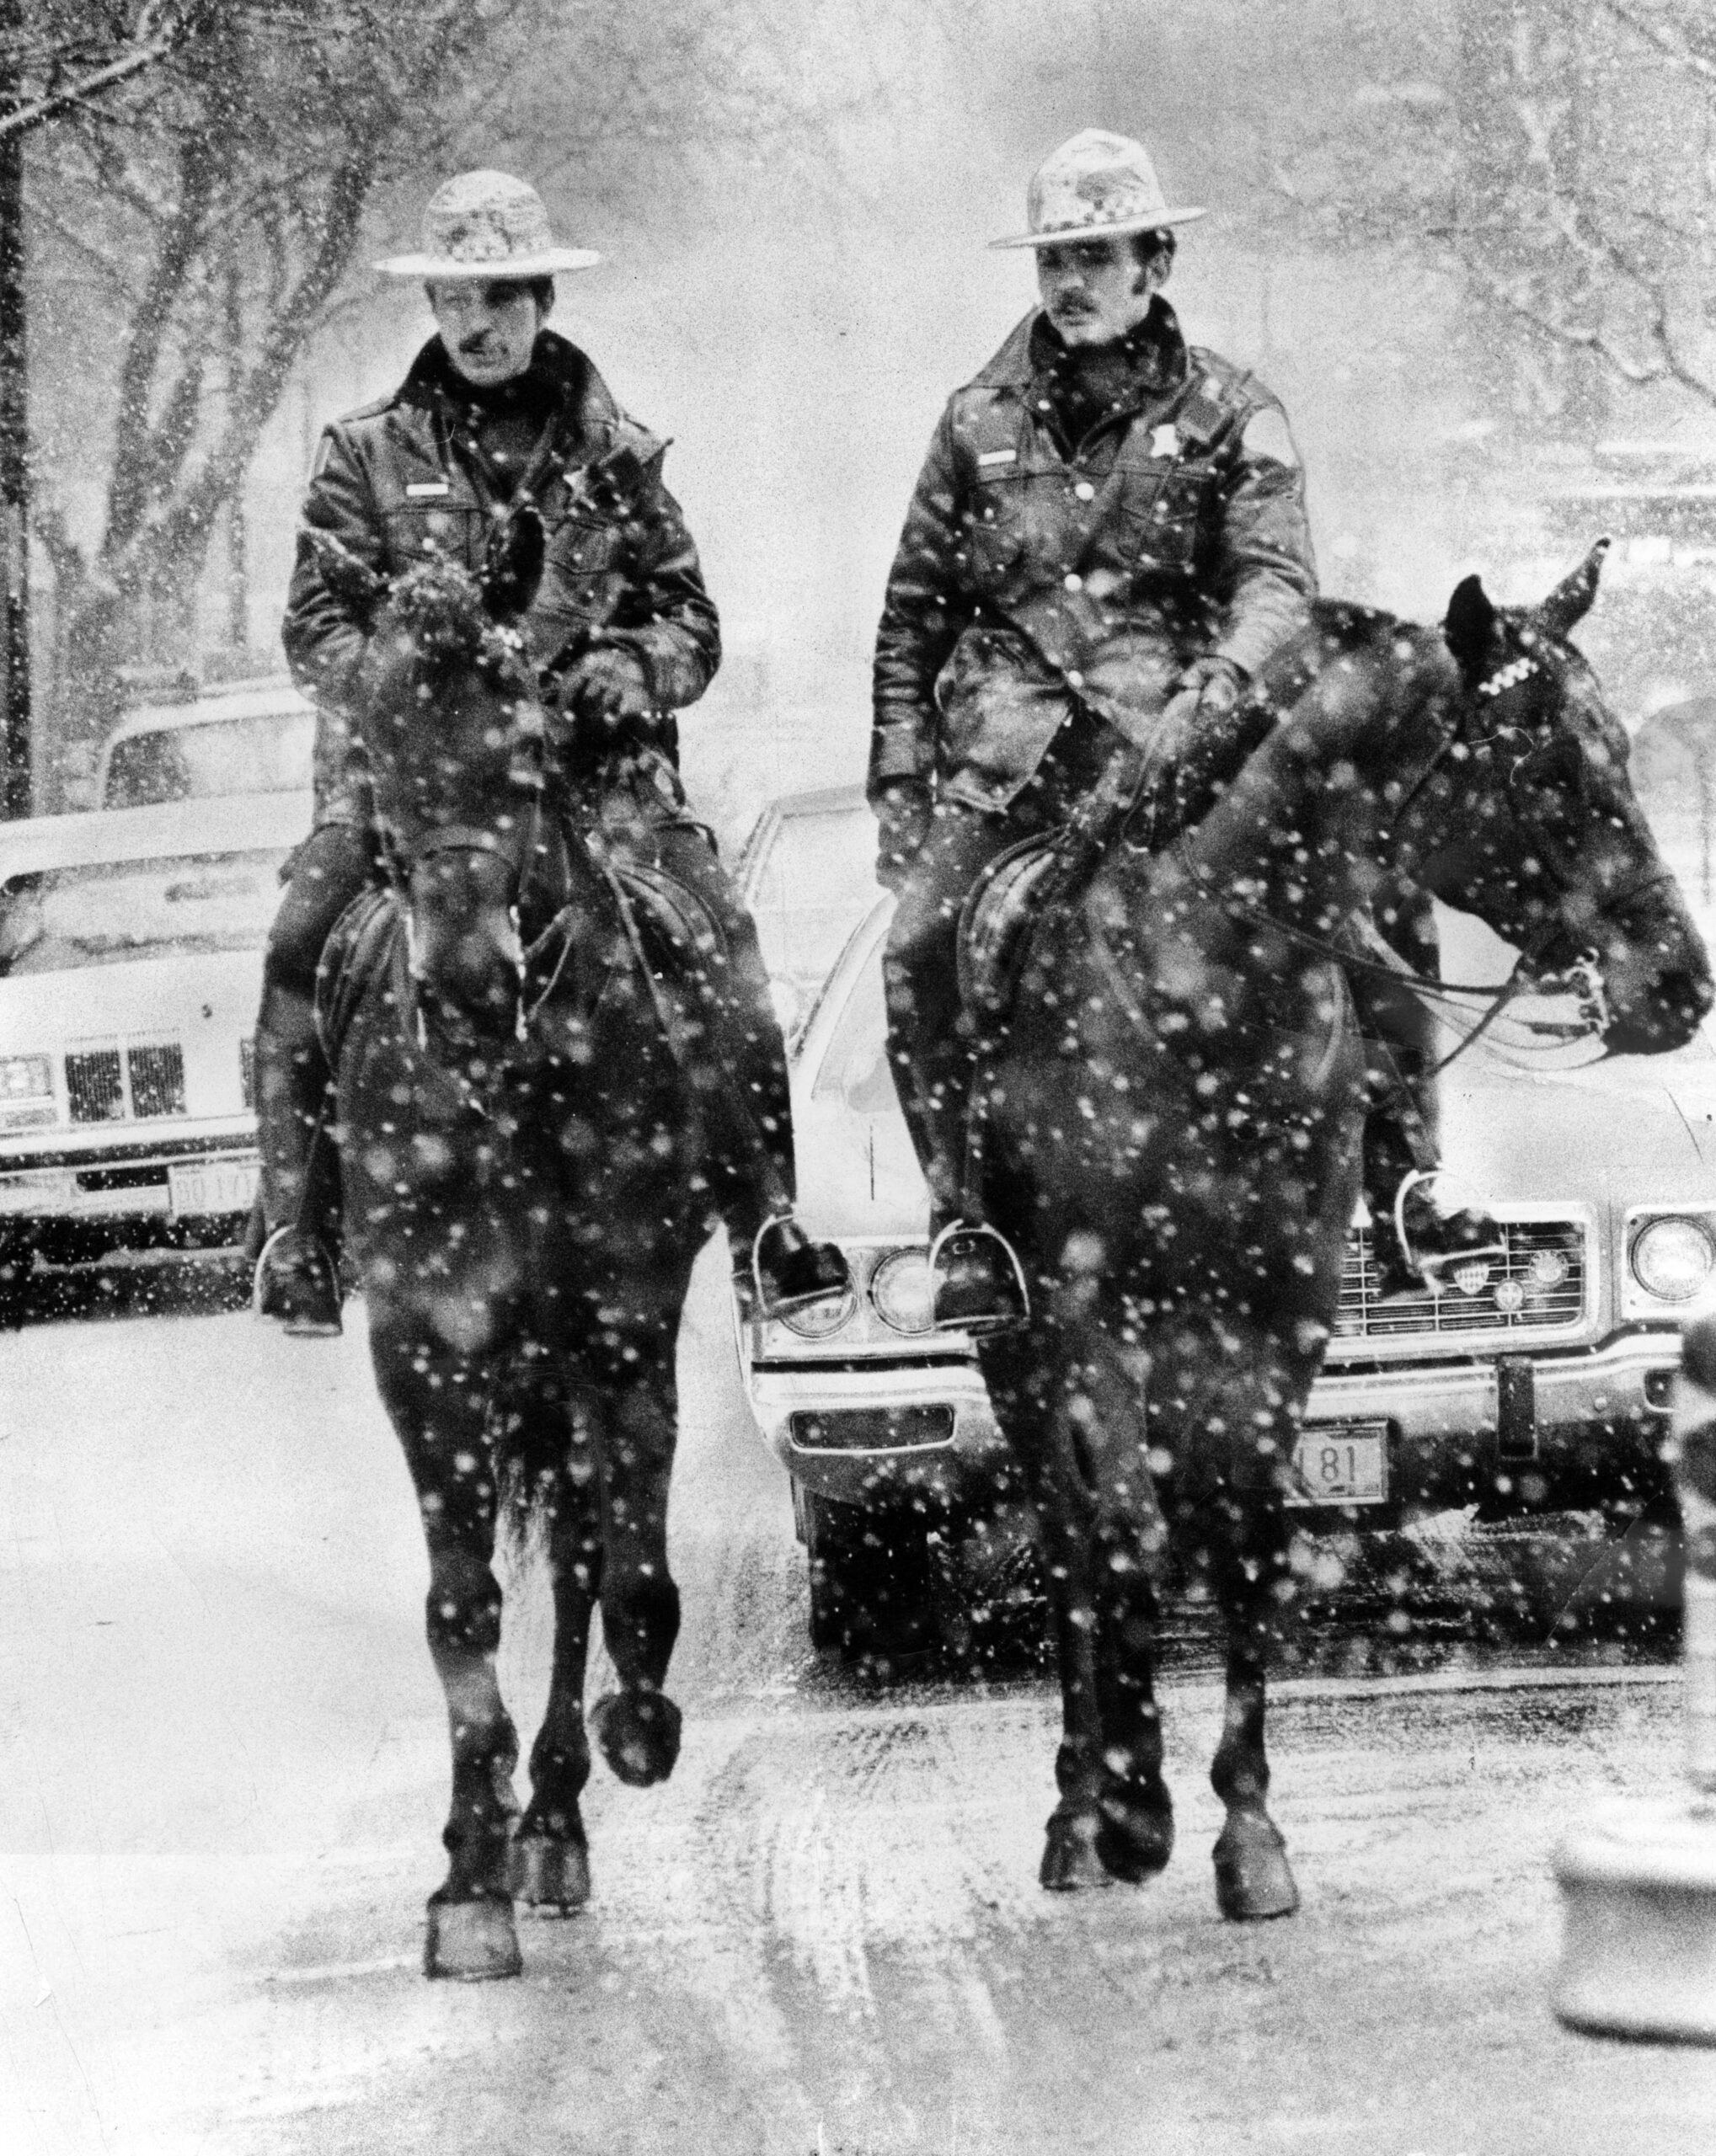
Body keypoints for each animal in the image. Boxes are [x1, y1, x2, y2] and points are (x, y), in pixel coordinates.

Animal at [318, 517, 715, 1974]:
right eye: (377, 743)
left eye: (533, 744)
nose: (470, 981)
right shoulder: (427, 1346)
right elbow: (463, 1603)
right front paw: (465, 1878)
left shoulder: (625, 1328)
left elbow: (630, 1574)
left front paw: (633, 1731)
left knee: (595, 1558)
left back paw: (559, 1814)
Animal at [970, 543, 1707, 1923]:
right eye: (1549, 764)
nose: (1677, 980)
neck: (1205, 988)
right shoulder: (1094, 1307)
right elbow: (1120, 1532)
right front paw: (1132, 1805)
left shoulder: (1285, 1301)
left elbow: (1246, 1535)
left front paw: (1246, 1834)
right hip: (1011, 1341)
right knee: (1071, 1528)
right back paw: (1078, 1808)